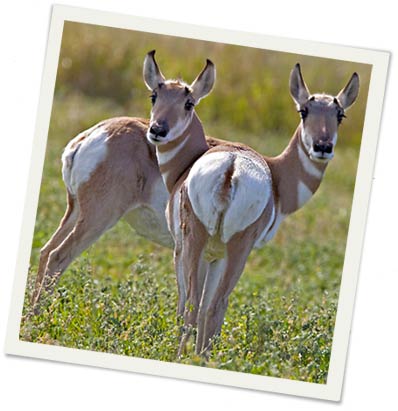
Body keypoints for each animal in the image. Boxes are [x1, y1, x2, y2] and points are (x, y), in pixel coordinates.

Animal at [144, 50, 360, 354]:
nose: (323, 146)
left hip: (215, 247)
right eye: (303, 111)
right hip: (224, 250)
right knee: (209, 306)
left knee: (204, 305)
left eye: (339, 115)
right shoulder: (208, 254)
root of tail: (231, 166)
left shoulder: (196, 252)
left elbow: (192, 304)